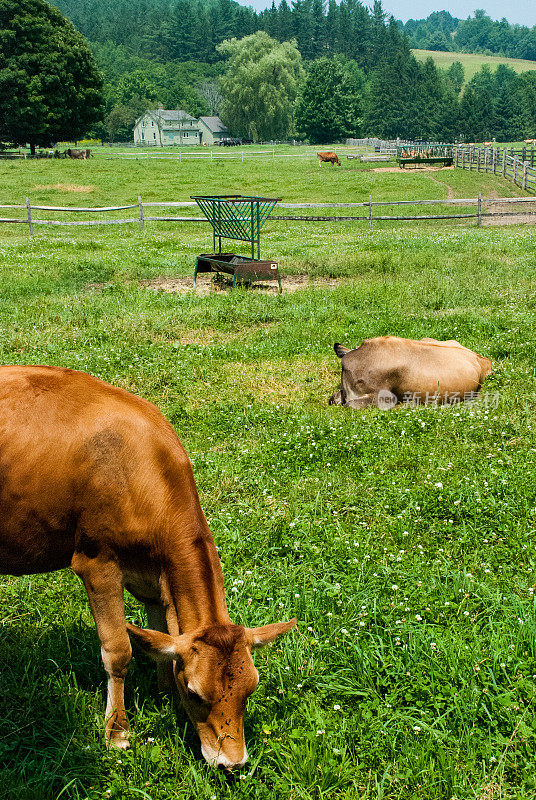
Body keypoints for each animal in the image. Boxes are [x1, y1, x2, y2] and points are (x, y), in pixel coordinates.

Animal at [0, 368, 296, 768]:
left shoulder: (154, 577)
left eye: (250, 690)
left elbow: (161, 633)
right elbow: (118, 650)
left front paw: (164, 694)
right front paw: (117, 733)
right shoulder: (97, 562)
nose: (232, 763)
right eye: (196, 694)